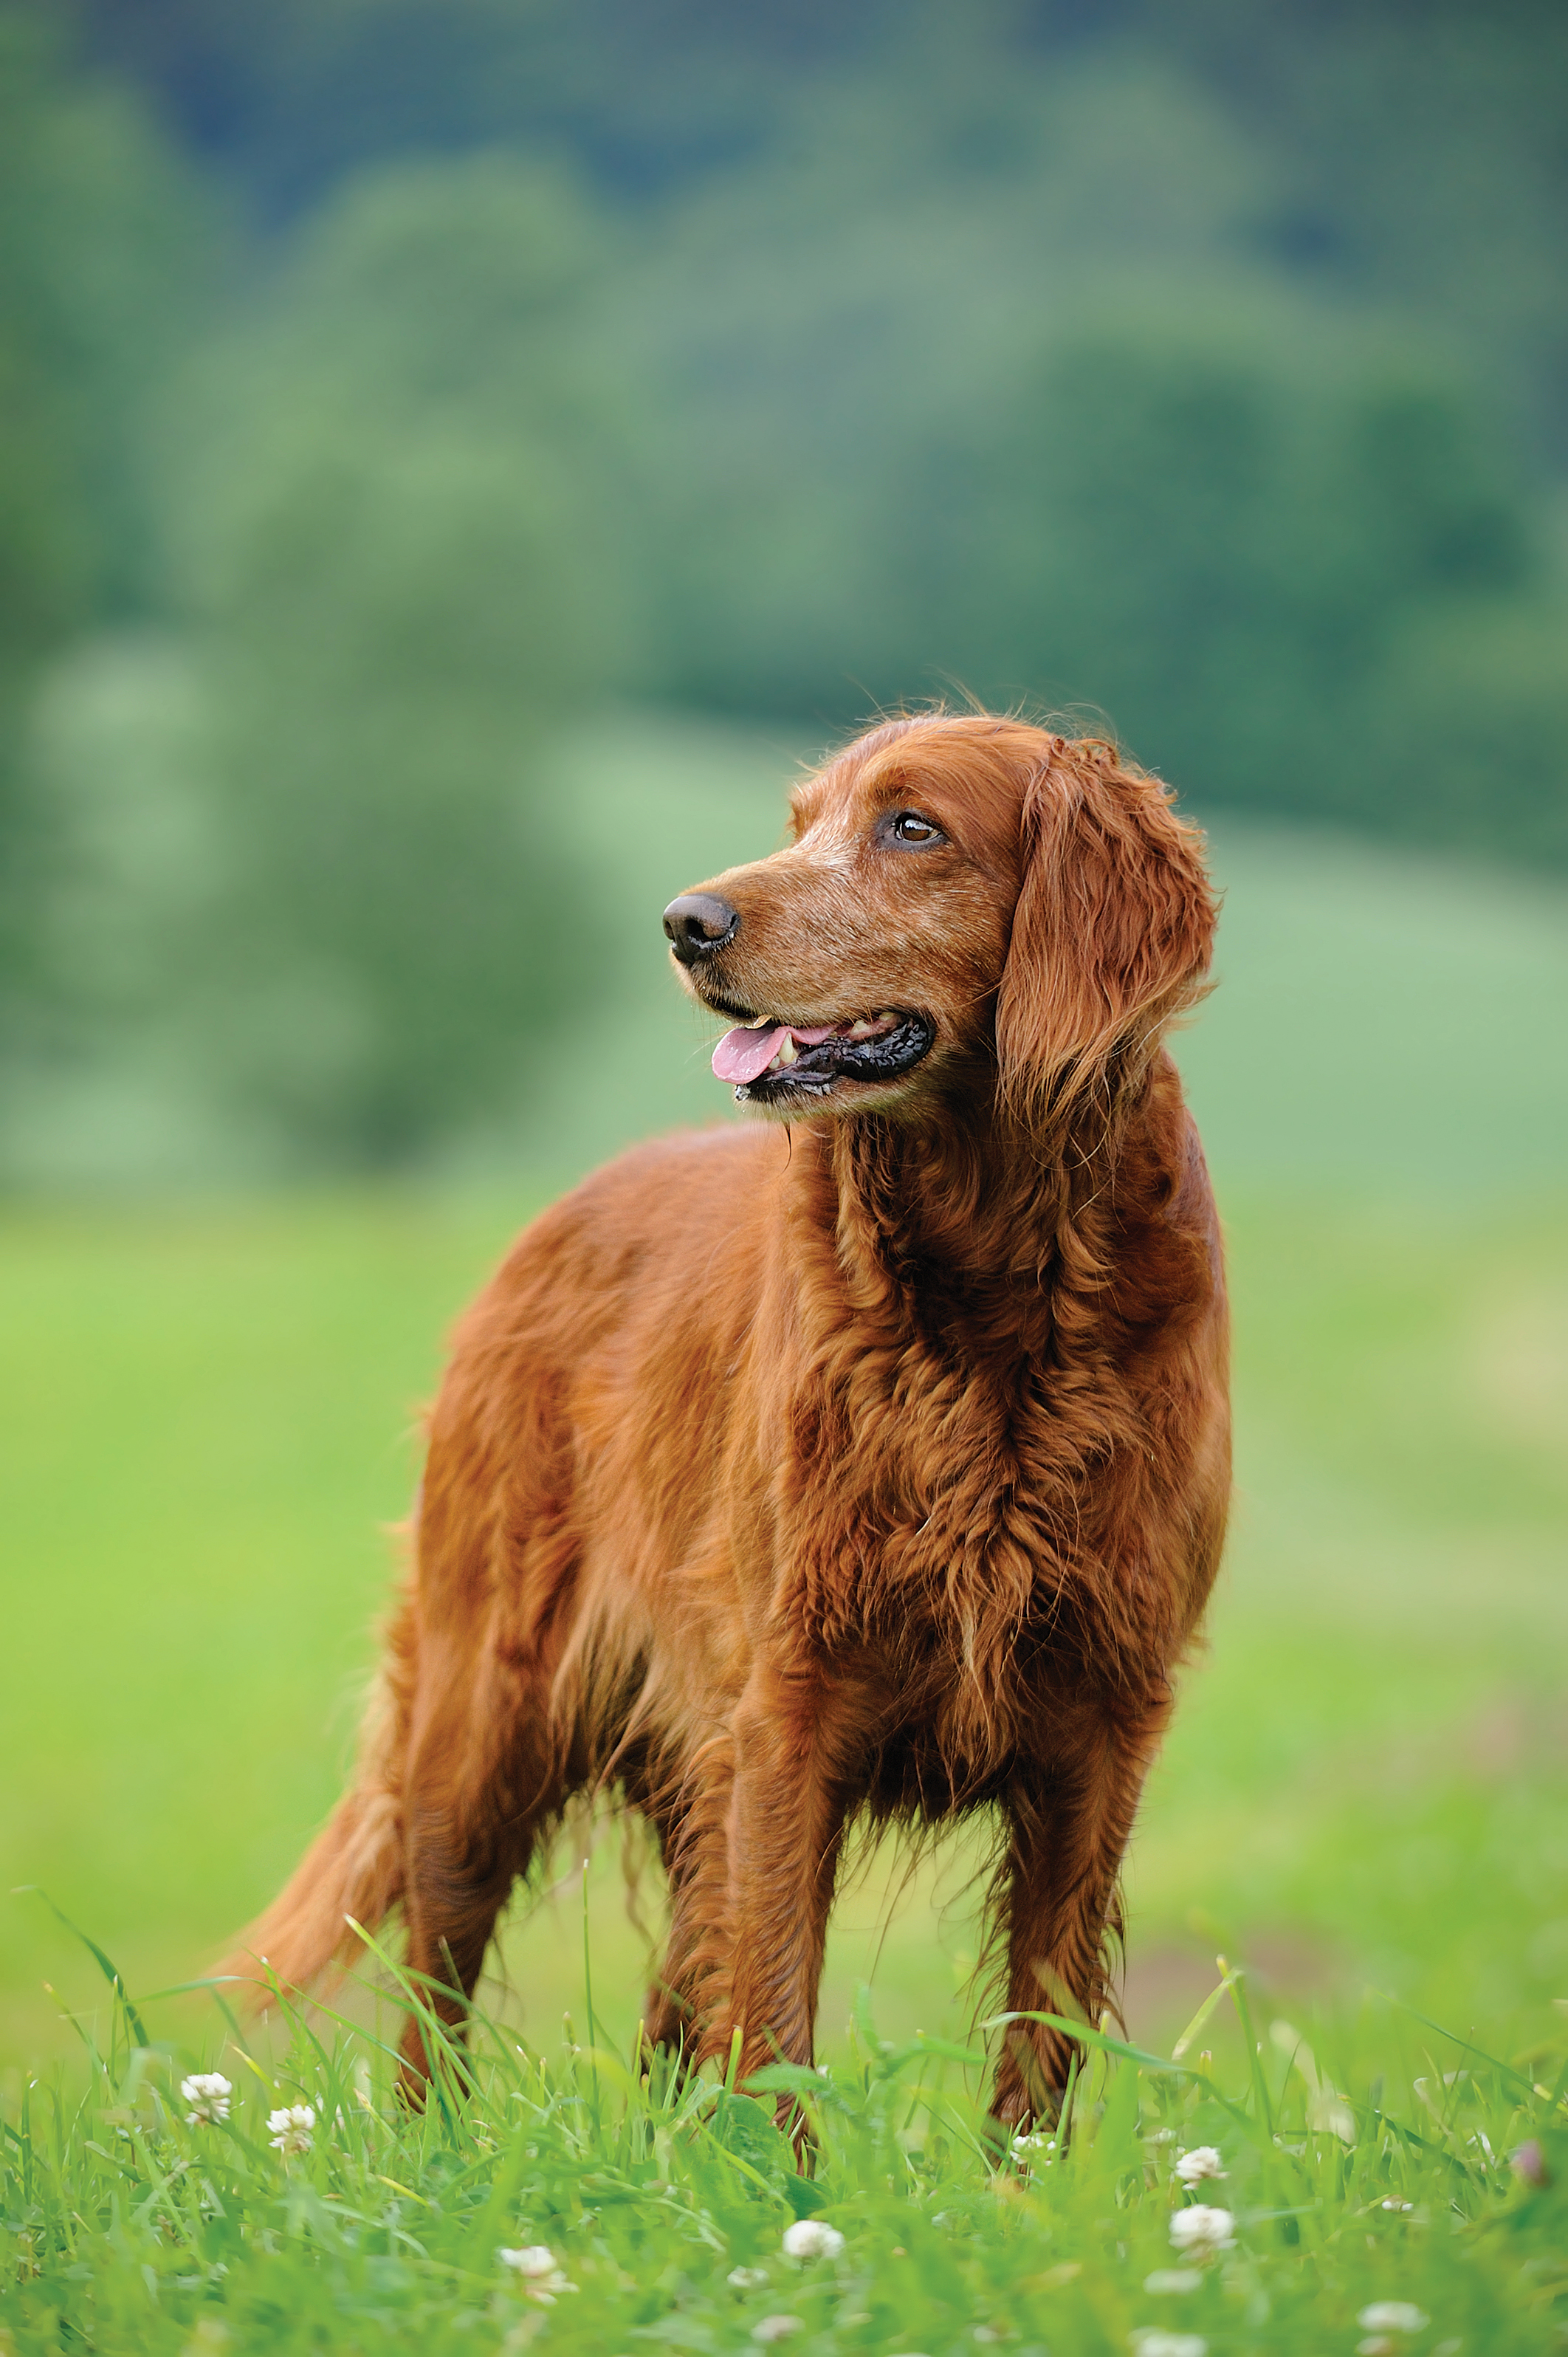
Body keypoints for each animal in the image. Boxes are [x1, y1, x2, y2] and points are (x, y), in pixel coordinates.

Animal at [222, 707, 1225, 2130]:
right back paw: (428, 2159)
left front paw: (1015, 2184)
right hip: (485, 1719)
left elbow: (1036, 2047)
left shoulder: (1098, 1727)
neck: (991, 1299)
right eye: (800, 819)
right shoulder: (784, 1711)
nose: (683, 921)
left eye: (911, 826)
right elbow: (774, 2027)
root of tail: (557, 1212)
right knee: (434, 1993)